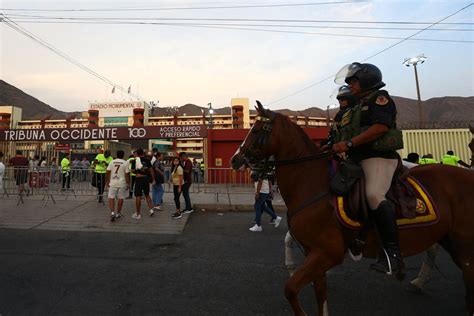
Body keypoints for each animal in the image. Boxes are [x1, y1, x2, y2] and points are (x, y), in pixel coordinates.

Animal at [231, 102, 474, 314]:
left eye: (257, 129)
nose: (235, 160)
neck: (313, 182)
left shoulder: (328, 253)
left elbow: (290, 289)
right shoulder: (315, 253)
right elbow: (320, 293)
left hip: (463, 245)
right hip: (448, 238)